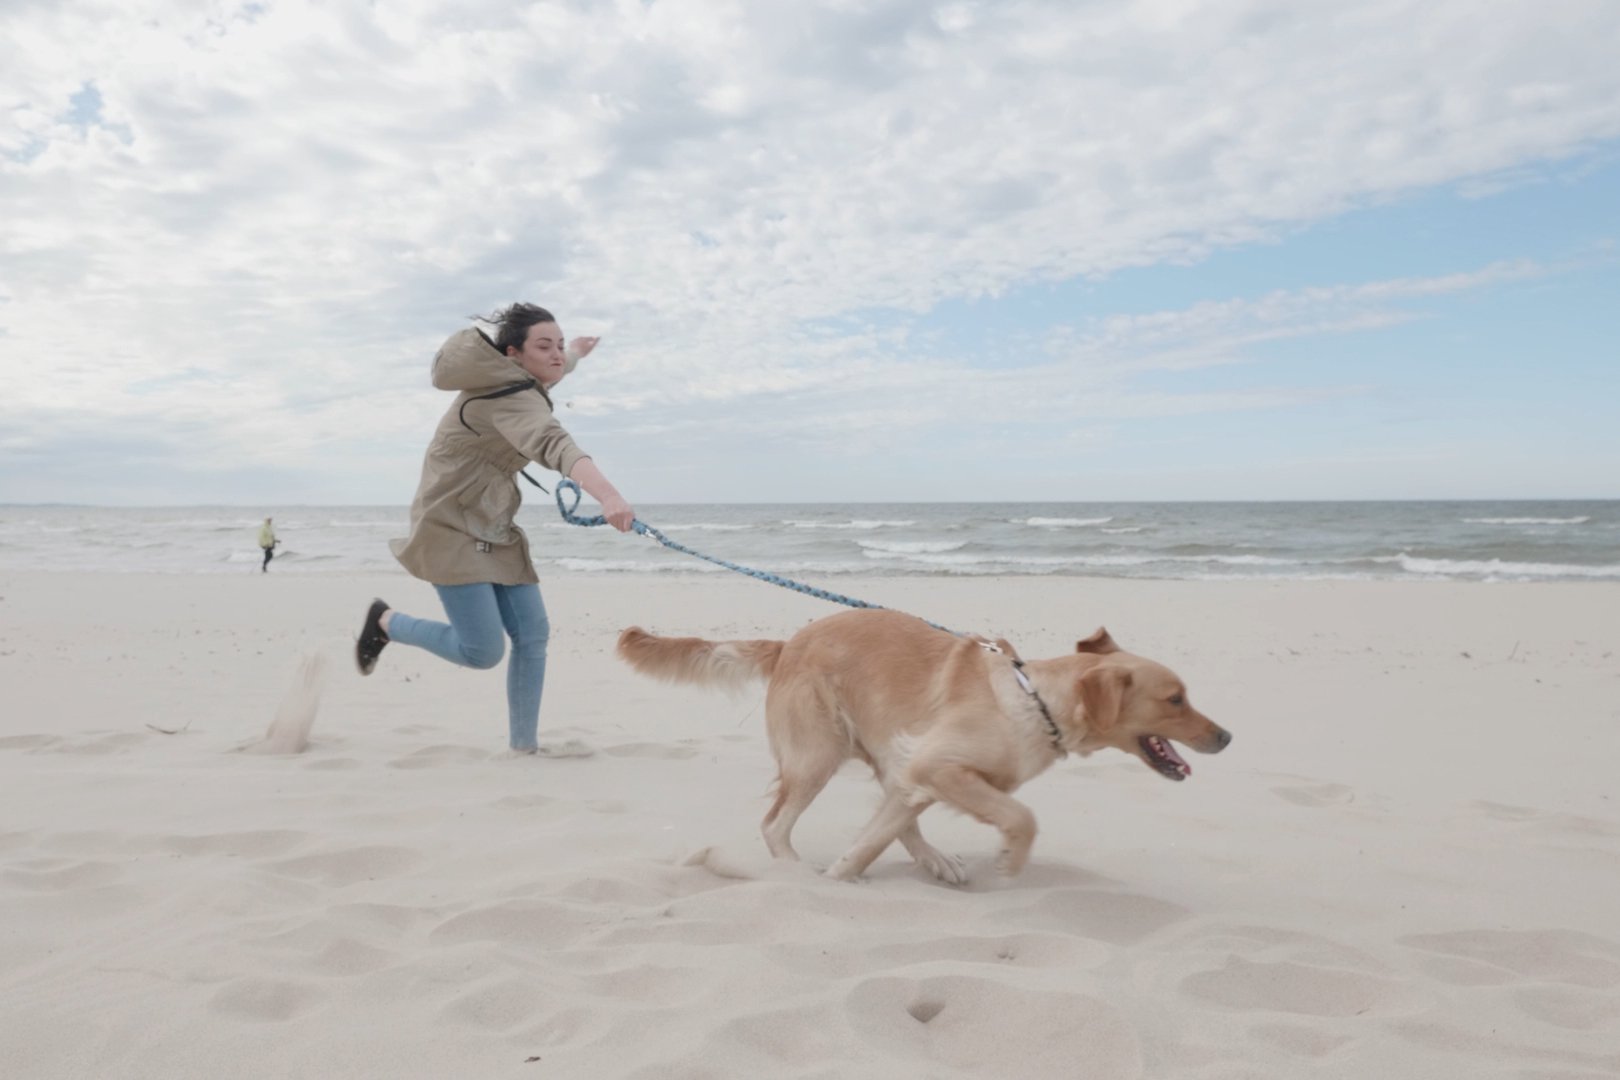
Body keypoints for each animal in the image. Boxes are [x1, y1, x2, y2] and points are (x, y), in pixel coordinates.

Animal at [615, 612, 1224, 880]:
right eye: (1175, 699)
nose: (1227, 736)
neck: (1034, 700)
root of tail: (789, 644)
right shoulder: (939, 765)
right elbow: (1020, 815)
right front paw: (1010, 857)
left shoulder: (924, 771)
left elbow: (874, 838)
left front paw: (842, 876)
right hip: (818, 756)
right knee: (774, 824)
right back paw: (791, 872)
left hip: (886, 756)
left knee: (895, 820)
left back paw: (932, 859)